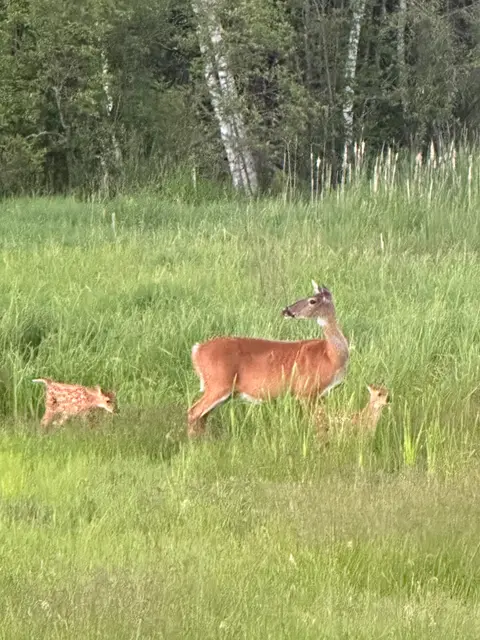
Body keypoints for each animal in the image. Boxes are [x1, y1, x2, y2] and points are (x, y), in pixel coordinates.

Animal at [187, 281, 349, 437]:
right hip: (217, 383)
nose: (286, 310)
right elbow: (318, 422)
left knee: (202, 416)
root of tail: (197, 350)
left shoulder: (318, 395)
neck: (330, 355)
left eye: (312, 301)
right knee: (193, 412)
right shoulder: (305, 390)